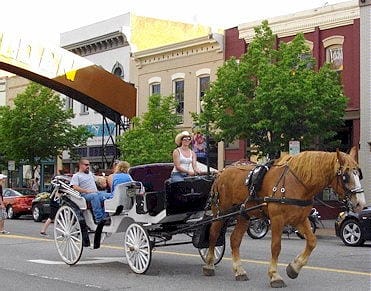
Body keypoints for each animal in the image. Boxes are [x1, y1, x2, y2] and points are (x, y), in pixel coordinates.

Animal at [203, 149, 366, 288]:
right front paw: (275, 276)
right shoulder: (277, 219)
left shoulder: (300, 219)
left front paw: (294, 268)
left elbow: (312, 241)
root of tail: (221, 173)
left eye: (358, 174)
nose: (361, 204)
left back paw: (239, 271)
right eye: (345, 176)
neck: (298, 183)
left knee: (235, 240)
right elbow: (276, 247)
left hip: (244, 215)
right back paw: (209, 265)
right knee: (213, 235)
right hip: (220, 212)